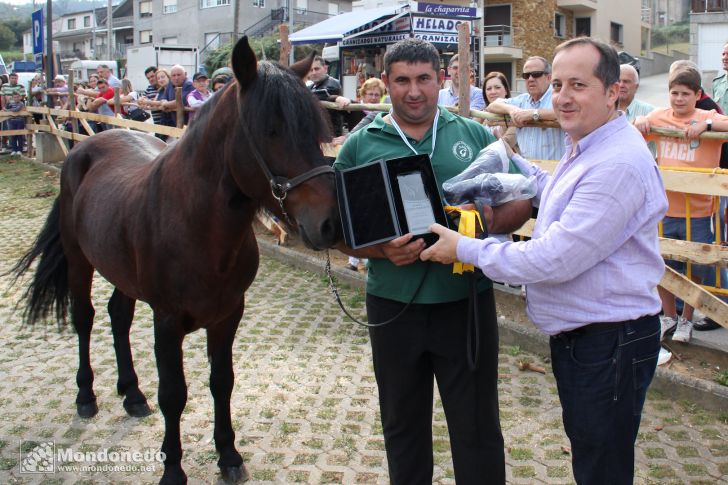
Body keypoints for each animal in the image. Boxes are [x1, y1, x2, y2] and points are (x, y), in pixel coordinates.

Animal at [11, 36, 342, 482]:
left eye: (315, 130)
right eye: (270, 130)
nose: (329, 223)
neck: (198, 228)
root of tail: (86, 147)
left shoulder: (227, 315)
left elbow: (222, 382)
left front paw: (229, 455)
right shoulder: (167, 322)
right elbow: (174, 394)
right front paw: (172, 468)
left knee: (118, 316)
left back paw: (132, 394)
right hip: (80, 261)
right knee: (85, 319)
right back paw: (86, 395)